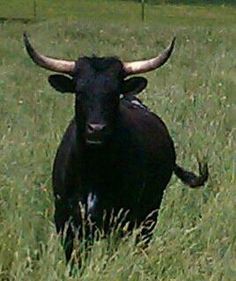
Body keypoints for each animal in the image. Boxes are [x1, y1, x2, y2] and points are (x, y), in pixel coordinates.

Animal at [24, 33, 208, 262]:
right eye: (79, 92)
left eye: (114, 93)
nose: (96, 129)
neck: (93, 169)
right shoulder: (66, 220)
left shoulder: (119, 219)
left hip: (150, 210)